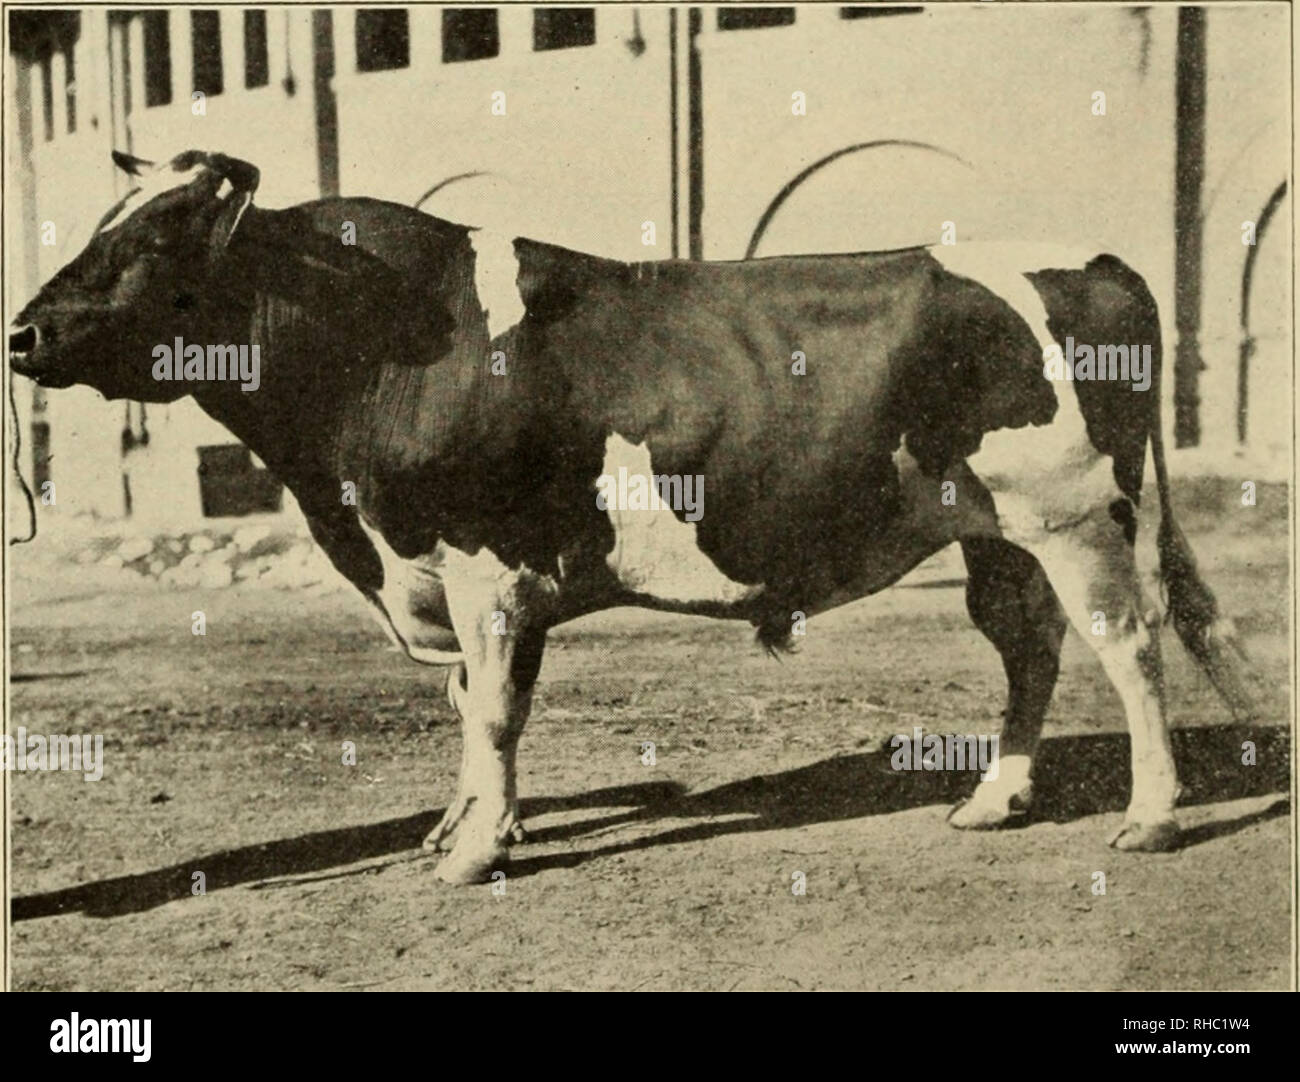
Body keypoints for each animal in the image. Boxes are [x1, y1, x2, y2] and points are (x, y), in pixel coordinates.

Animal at [5, 150, 1253, 879]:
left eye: (150, 239)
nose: (22, 330)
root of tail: (1087, 258)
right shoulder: (459, 573)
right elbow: (474, 710)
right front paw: (463, 825)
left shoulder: (487, 566)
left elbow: (491, 713)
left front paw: (474, 851)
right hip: (995, 530)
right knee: (1030, 647)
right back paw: (995, 798)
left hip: (1076, 512)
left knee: (1128, 647)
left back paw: (1151, 815)